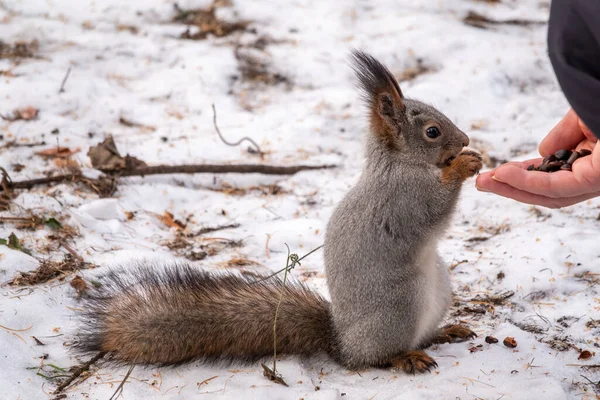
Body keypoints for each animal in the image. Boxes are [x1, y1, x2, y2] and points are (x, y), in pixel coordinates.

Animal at [74, 50, 482, 376]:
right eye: (432, 131)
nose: (464, 140)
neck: (398, 165)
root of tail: (342, 342)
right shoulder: (406, 199)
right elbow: (435, 212)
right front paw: (463, 165)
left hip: (438, 291)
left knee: (420, 336)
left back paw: (444, 331)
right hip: (398, 309)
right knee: (376, 357)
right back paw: (404, 357)